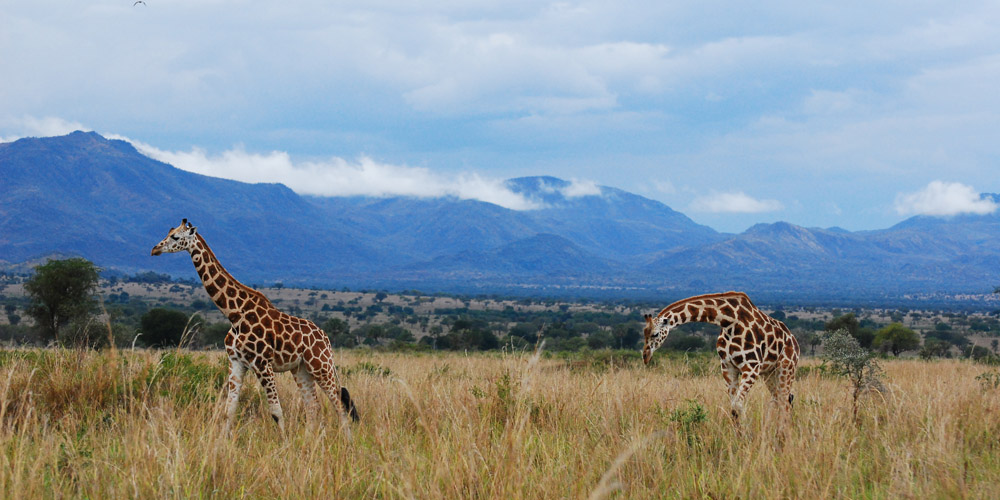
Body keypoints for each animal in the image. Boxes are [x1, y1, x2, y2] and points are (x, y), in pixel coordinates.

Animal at [151, 219, 359, 432]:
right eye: (168, 232)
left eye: (175, 236)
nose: (154, 249)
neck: (234, 314)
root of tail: (326, 338)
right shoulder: (236, 362)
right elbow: (229, 410)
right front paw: (223, 440)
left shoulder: (262, 363)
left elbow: (276, 412)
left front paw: (284, 440)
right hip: (301, 368)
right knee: (313, 406)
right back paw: (310, 438)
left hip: (321, 366)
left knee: (339, 405)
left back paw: (346, 439)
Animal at [642, 291, 799, 426]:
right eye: (644, 333)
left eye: (655, 334)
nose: (645, 356)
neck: (728, 321)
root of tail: (794, 341)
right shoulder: (728, 367)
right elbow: (733, 407)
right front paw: (740, 438)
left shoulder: (751, 367)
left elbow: (738, 405)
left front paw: (747, 437)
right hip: (769, 373)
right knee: (781, 398)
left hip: (786, 368)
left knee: (784, 401)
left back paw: (782, 437)